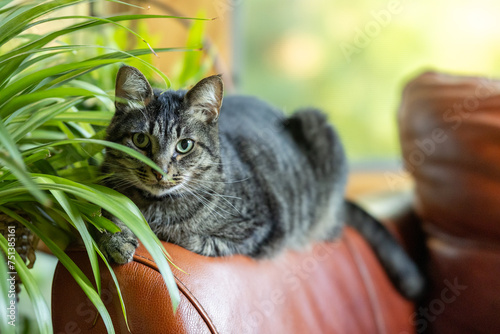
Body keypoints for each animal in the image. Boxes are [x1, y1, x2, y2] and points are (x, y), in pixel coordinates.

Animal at [98, 65, 426, 300]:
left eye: (184, 146)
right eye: (140, 140)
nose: (161, 172)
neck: (155, 203)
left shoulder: (257, 227)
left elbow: (187, 235)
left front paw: (154, 230)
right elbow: (103, 215)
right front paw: (117, 238)